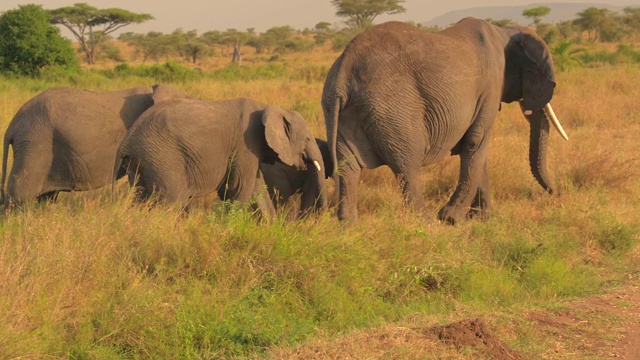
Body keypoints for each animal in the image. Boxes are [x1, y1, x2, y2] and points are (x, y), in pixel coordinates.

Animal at [112, 94, 328, 219]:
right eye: (307, 138)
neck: (268, 107)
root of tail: (126, 141)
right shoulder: (245, 144)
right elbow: (239, 189)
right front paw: (226, 229)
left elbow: (258, 191)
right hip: (162, 157)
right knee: (171, 199)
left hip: (143, 161)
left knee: (140, 197)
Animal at [322, 19, 568, 225]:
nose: (555, 193)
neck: (504, 31)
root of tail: (345, 68)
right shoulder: (491, 86)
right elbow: (476, 142)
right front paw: (452, 219)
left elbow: (476, 151)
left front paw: (485, 218)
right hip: (392, 108)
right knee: (408, 164)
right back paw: (426, 223)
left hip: (341, 110)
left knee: (348, 167)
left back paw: (349, 225)